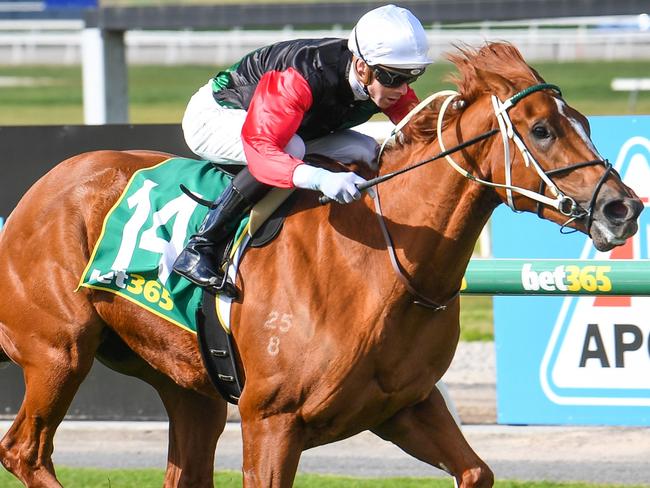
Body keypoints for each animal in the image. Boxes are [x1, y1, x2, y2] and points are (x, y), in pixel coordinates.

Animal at [0, 43, 636, 486]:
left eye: (585, 121)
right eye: (542, 129)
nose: (623, 207)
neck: (381, 262)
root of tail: (38, 193)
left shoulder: (407, 405)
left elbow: (476, 470)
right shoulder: (271, 420)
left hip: (189, 388)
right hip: (58, 353)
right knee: (24, 451)